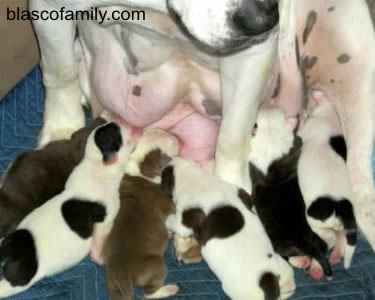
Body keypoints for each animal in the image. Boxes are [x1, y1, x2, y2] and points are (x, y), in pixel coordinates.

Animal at [0, 121, 140, 298]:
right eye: (122, 139)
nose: (136, 126)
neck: (95, 163)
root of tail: (9, 253)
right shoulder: (106, 220)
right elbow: (99, 239)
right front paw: (99, 258)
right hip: (18, 283)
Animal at [102, 129, 180, 300]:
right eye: (171, 142)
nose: (177, 137)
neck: (140, 169)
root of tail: (123, 275)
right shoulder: (169, 204)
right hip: (157, 265)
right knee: (148, 294)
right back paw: (170, 289)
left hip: (112, 283)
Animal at [162, 157, 296, 300]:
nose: (169, 159)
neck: (196, 179)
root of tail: (269, 278)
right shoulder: (240, 192)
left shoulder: (183, 221)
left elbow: (173, 222)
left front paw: (167, 222)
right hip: (283, 267)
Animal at [248, 104, 334, 280]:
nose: (268, 103)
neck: (271, 135)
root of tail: (301, 239)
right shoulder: (293, 146)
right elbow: (297, 142)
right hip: (313, 235)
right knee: (321, 247)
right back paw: (315, 263)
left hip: (279, 244)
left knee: (285, 256)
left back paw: (301, 261)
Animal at [300, 96, 358, 270]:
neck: (329, 112)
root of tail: (343, 207)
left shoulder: (306, 129)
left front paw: (302, 114)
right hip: (343, 227)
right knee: (341, 237)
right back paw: (337, 255)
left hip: (315, 219)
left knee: (330, 237)